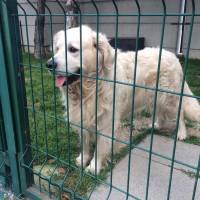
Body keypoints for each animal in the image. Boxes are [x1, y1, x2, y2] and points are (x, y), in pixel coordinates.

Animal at [47, 25, 200, 174]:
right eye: (57, 49)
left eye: (72, 49)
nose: (49, 64)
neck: (91, 87)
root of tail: (173, 56)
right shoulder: (82, 117)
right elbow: (84, 143)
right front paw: (82, 159)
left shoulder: (106, 122)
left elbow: (100, 147)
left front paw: (94, 167)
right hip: (155, 96)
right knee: (160, 112)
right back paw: (157, 125)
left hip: (169, 97)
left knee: (180, 114)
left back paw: (181, 133)